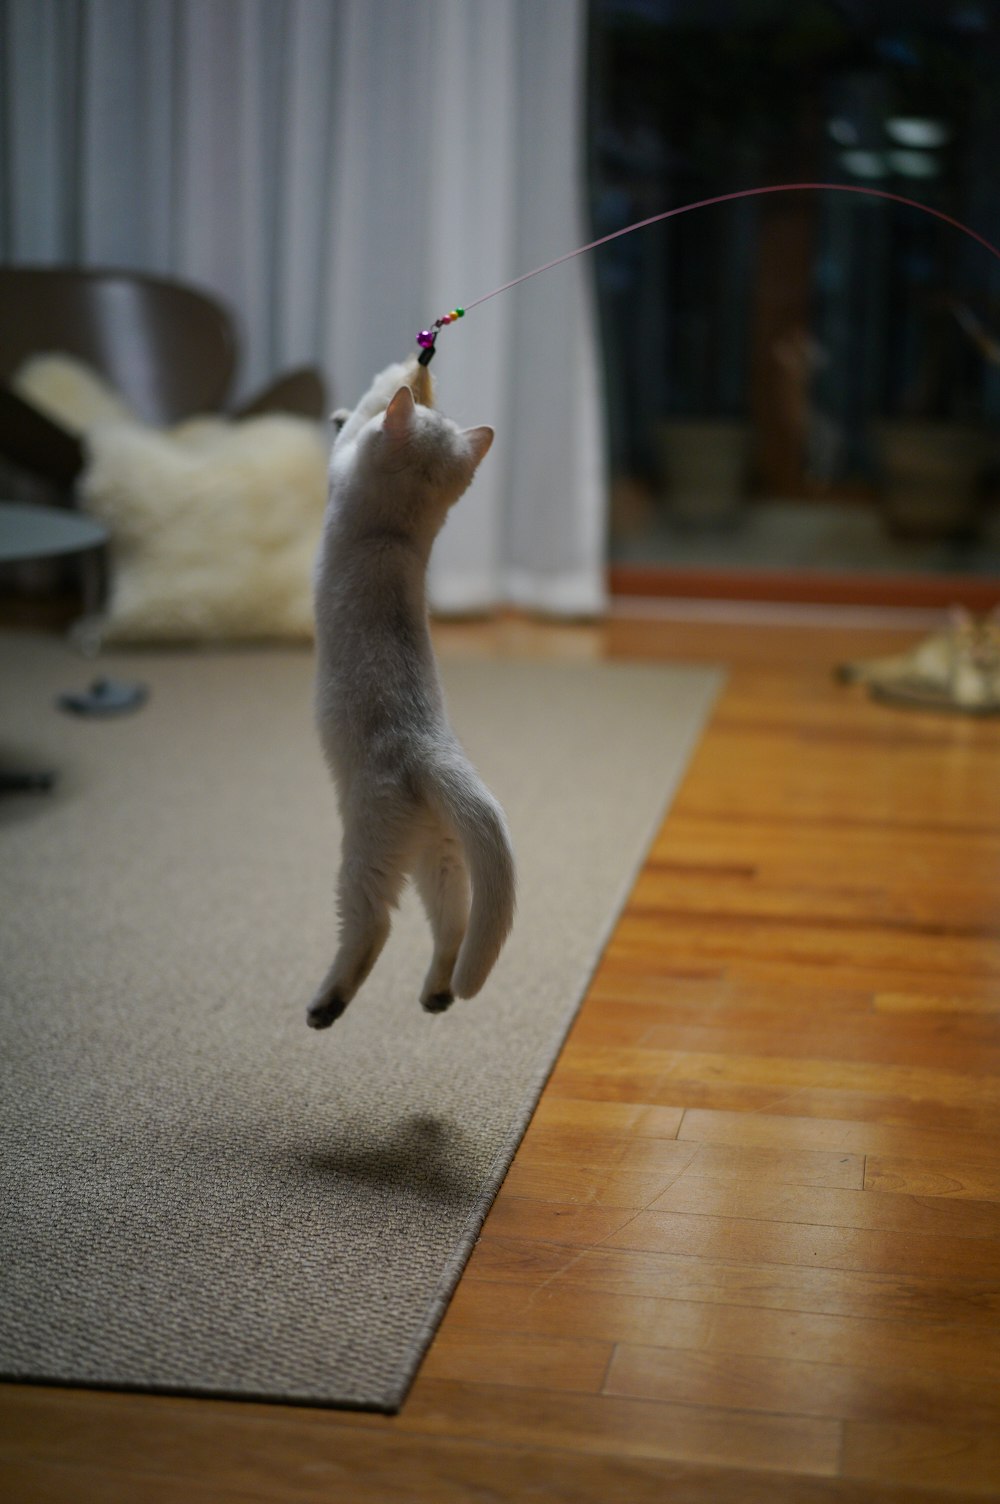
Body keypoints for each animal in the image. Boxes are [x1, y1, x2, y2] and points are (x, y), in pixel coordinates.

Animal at [308, 357, 514, 1028]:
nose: (425, 380)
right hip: (441, 853)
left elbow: (354, 427)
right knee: (454, 919)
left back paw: (326, 1004)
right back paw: (437, 992)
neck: (398, 534)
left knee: (372, 927)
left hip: (365, 852)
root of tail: (434, 751)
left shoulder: (344, 467)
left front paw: (388, 382)